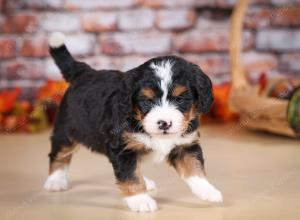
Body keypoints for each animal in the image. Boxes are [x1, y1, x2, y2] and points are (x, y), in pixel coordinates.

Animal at [44, 32, 223, 211]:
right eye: (147, 101)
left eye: (180, 99)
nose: (164, 123)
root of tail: (84, 72)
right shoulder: (123, 148)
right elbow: (130, 175)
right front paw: (140, 200)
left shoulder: (185, 145)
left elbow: (194, 168)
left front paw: (208, 191)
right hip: (66, 130)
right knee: (59, 154)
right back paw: (55, 181)